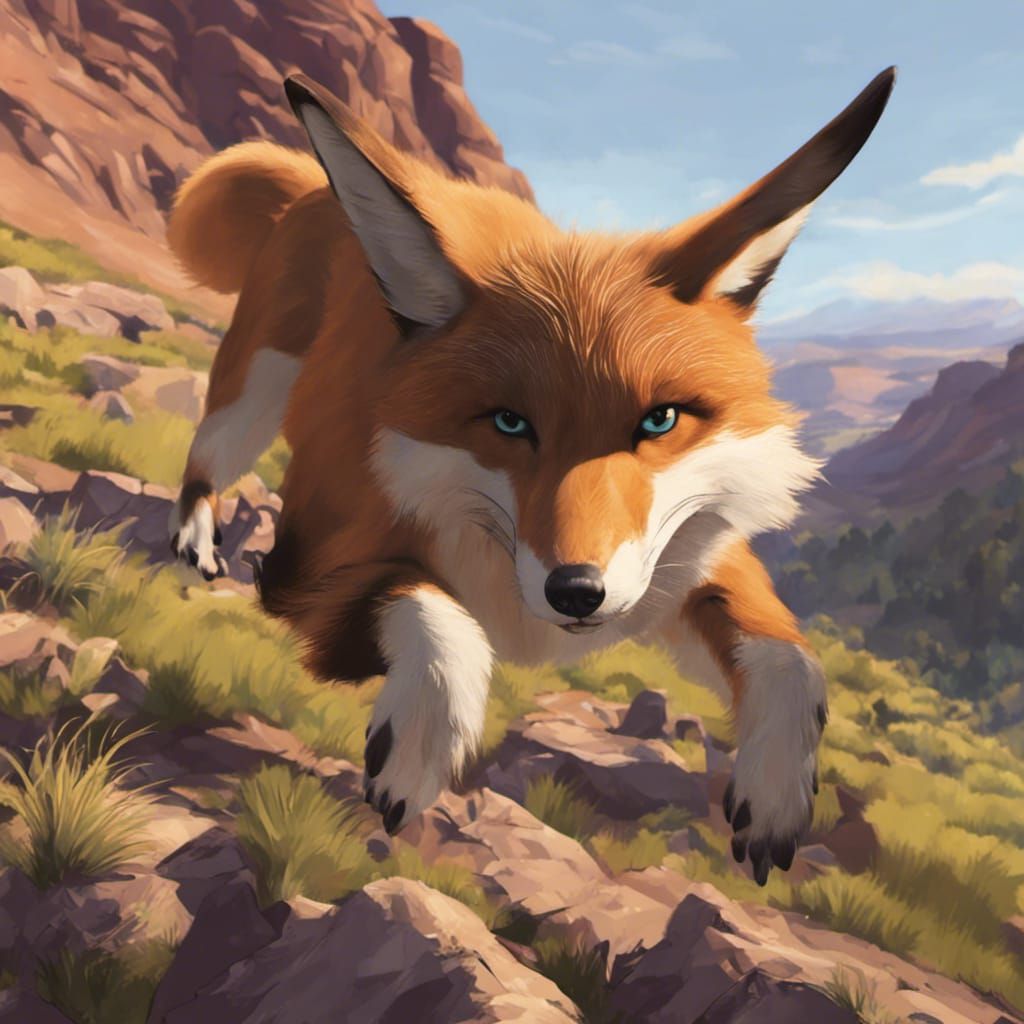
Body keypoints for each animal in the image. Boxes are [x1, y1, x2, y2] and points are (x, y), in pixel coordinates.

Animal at [167, 67, 895, 884]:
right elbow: (433, 610)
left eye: (659, 421)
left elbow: (792, 662)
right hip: (252, 400)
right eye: (511, 424)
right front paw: (419, 745)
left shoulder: (687, 561)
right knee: (204, 457)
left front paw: (774, 793)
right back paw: (194, 537)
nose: (576, 591)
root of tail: (311, 185)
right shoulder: (307, 568)